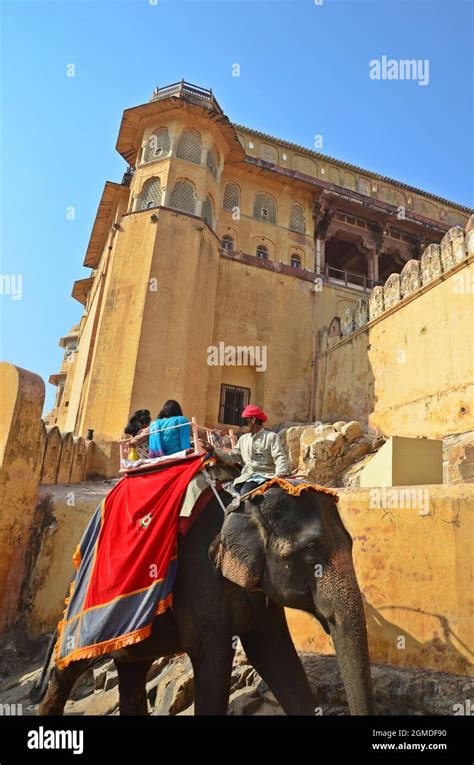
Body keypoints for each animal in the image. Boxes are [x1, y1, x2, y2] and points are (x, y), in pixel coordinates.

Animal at [35, 484, 372, 716]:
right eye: (310, 552)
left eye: (351, 544)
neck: (244, 502)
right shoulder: (197, 579)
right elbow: (214, 662)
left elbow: (276, 655)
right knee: (67, 669)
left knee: (132, 671)